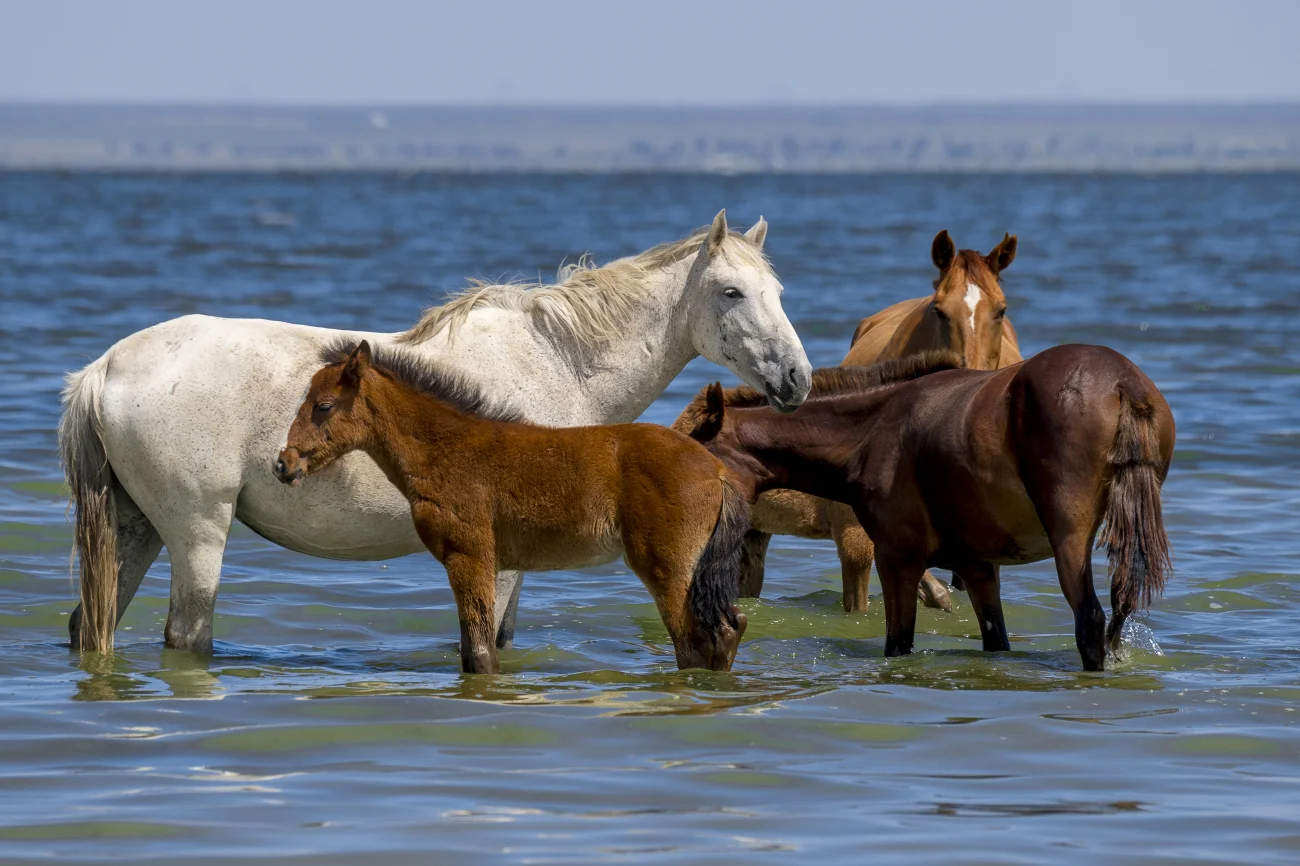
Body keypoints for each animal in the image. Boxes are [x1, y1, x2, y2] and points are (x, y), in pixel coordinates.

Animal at [273, 340, 749, 674]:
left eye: (323, 406)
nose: (283, 464)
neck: (445, 449)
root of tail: (717, 470)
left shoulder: (470, 556)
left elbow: (480, 651)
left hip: (666, 566)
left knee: (695, 643)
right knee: (730, 628)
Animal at [685, 344, 1175, 671]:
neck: (872, 431)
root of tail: (1124, 382)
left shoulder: (896, 559)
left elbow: (898, 644)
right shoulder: (978, 568)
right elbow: (995, 640)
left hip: (1069, 541)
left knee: (1089, 621)